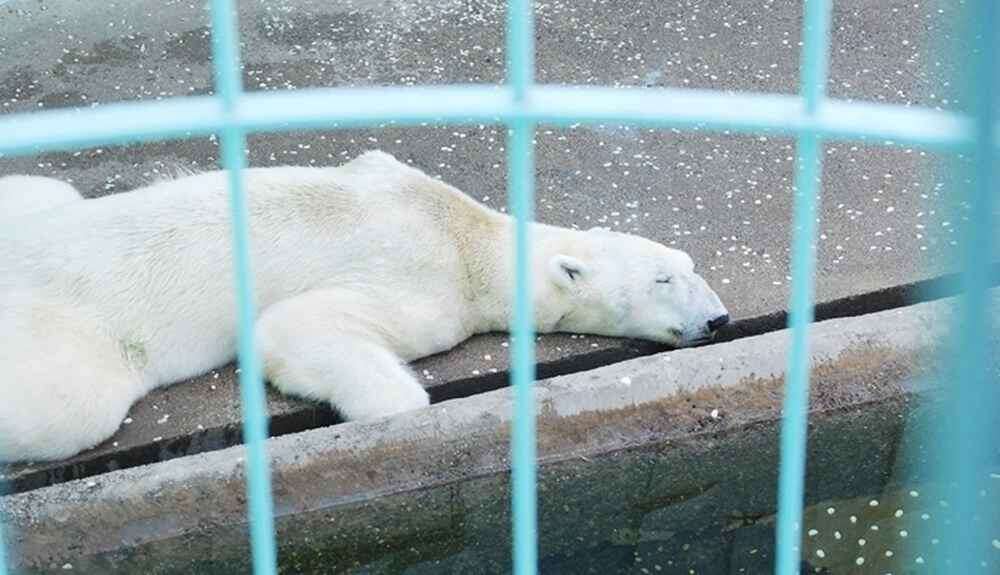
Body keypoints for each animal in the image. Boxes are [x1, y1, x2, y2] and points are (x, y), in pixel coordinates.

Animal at [0, 150, 724, 464]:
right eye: (664, 279)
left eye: (690, 265)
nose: (718, 319)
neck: (470, 237)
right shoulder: (428, 280)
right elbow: (293, 327)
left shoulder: (382, 169)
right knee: (69, 403)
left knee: (40, 186)